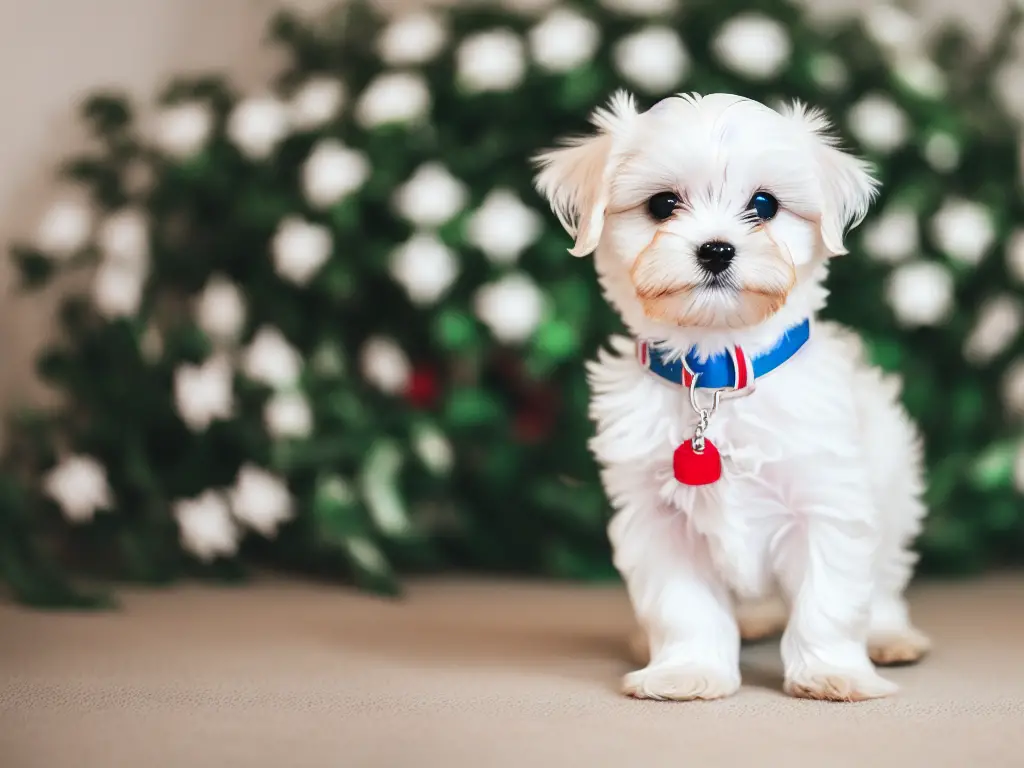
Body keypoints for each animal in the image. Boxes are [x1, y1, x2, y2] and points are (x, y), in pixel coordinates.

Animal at [532, 91, 933, 704]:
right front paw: (685, 671)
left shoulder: (828, 501)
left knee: (885, 575)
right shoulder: (657, 520)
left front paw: (832, 672)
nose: (717, 249)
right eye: (663, 204)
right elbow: (684, 606)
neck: (716, 374)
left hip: (893, 491)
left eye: (764, 204)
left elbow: (830, 600)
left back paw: (889, 635)